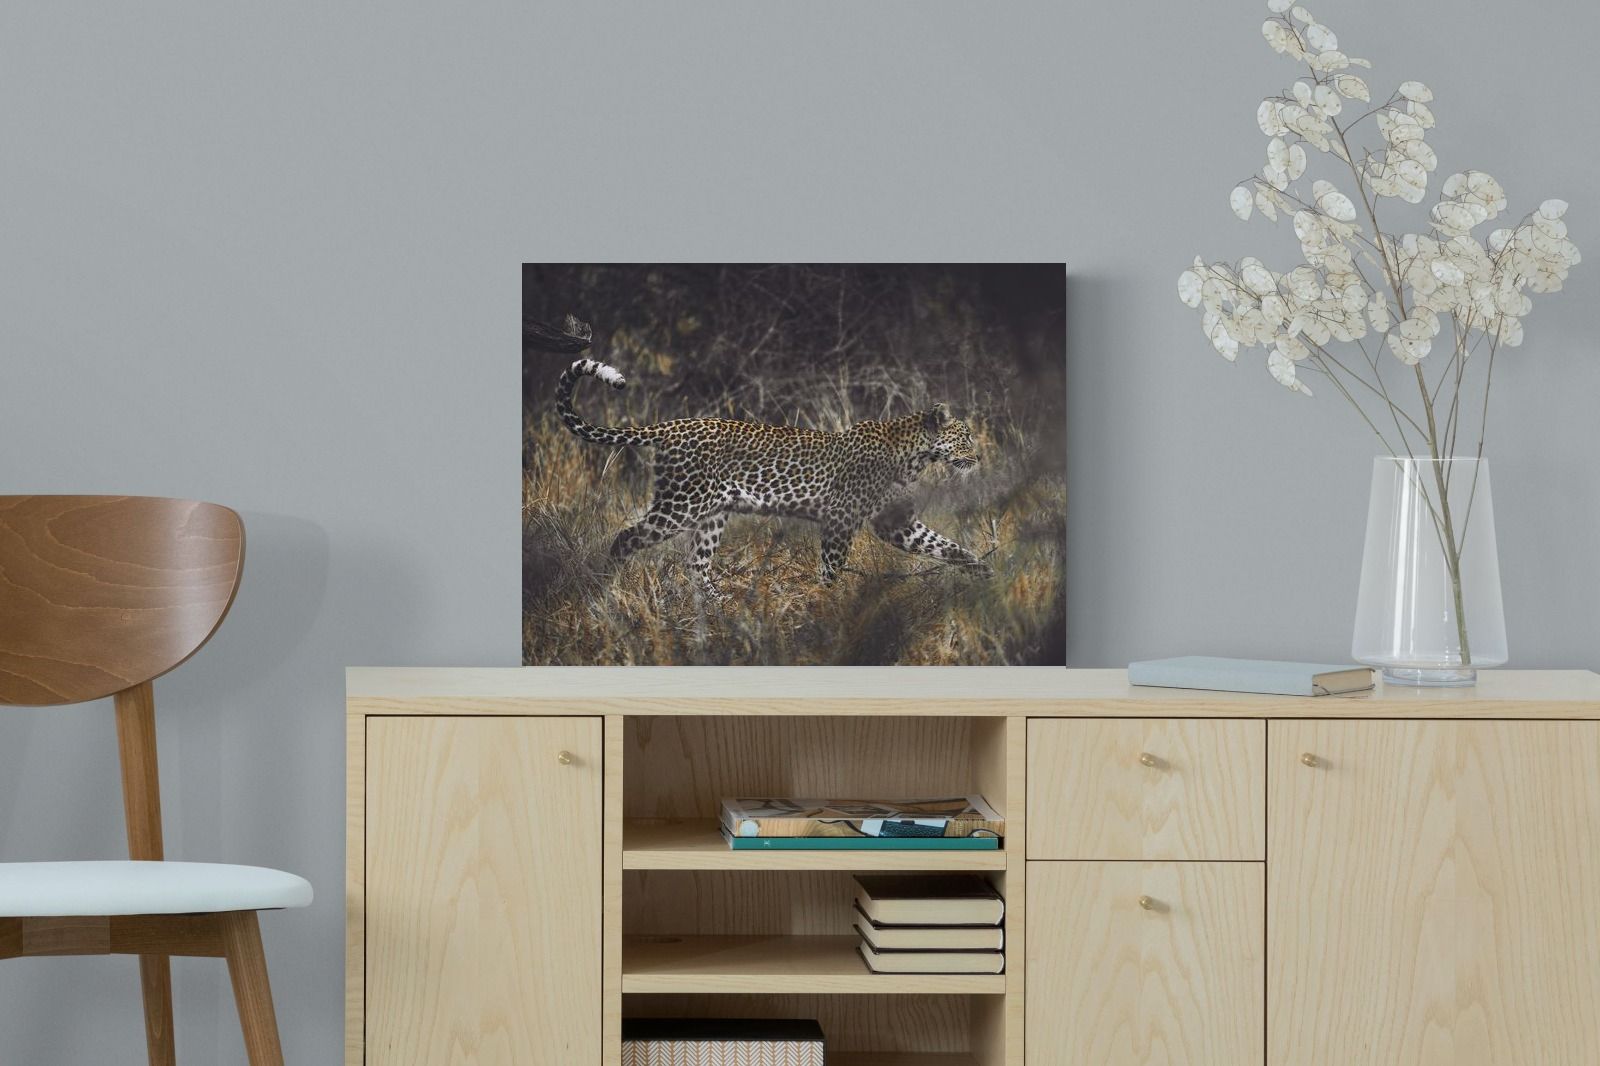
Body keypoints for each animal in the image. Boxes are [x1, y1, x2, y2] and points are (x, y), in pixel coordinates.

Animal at [555, 357, 994, 599]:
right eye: (965, 436)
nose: (979, 456)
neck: (913, 455)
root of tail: (671, 425)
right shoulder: (840, 518)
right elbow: (831, 567)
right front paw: (826, 605)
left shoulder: (896, 523)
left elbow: (943, 545)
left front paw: (984, 572)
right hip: (681, 504)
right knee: (626, 538)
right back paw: (606, 588)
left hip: (712, 513)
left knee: (696, 564)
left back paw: (721, 608)